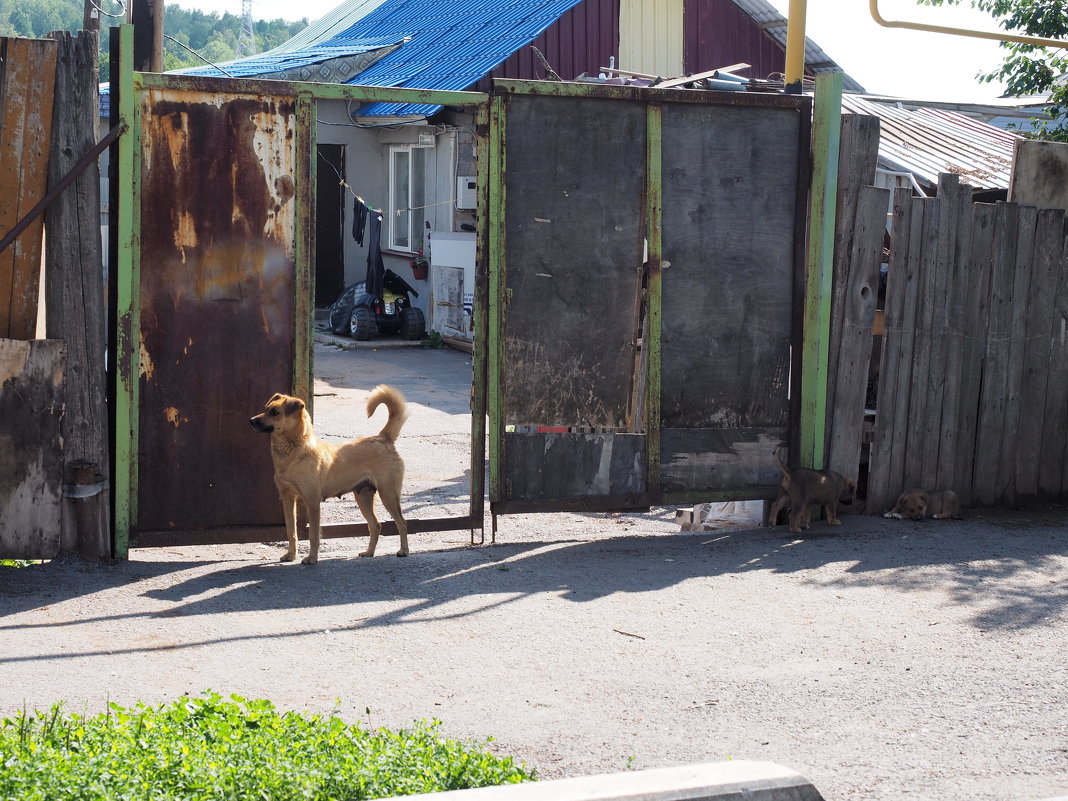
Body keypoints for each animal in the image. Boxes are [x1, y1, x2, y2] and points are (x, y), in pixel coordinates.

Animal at [249, 386, 407, 563]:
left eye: (275, 412)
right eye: (266, 409)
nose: (251, 420)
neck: (295, 449)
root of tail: (382, 437)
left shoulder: (312, 502)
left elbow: (313, 535)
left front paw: (311, 558)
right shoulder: (287, 499)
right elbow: (291, 531)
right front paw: (291, 555)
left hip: (388, 494)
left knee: (402, 523)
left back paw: (403, 550)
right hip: (363, 497)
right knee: (376, 525)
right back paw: (369, 552)